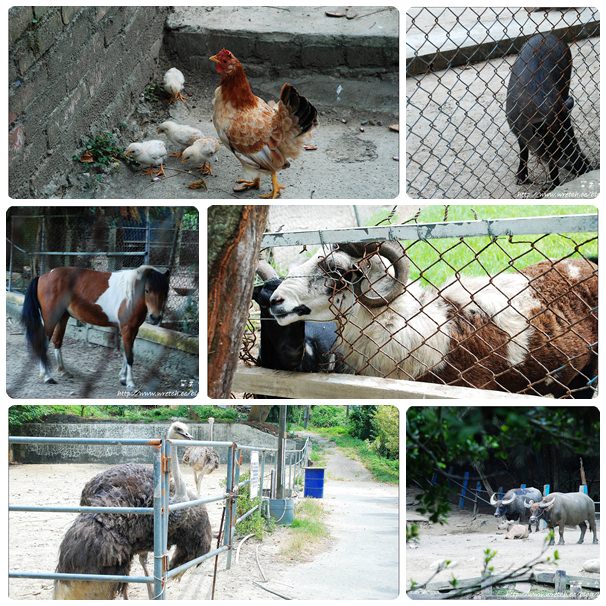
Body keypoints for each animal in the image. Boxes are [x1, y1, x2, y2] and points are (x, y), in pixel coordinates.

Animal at [22, 266, 169, 390]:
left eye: (165, 291)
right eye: (147, 290)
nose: (155, 317)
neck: (131, 294)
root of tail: (43, 276)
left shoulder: (133, 329)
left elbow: (127, 353)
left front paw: (122, 378)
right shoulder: (127, 329)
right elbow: (129, 356)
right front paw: (130, 383)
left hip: (63, 317)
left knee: (57, 341)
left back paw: (62, 371)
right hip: (51, 319)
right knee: (43, 343)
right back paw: (47, 376)